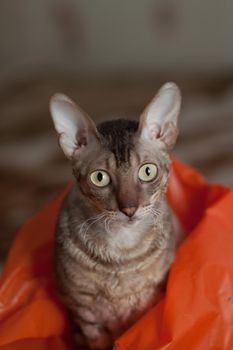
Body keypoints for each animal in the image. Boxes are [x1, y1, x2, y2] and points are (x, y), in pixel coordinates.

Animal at [50, 82, 183, 350]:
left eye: (147, 172)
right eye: (99, 178)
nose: (129, 208)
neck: (122, 251)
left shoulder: (150, 301)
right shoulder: (83, 313)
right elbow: (96, 341)